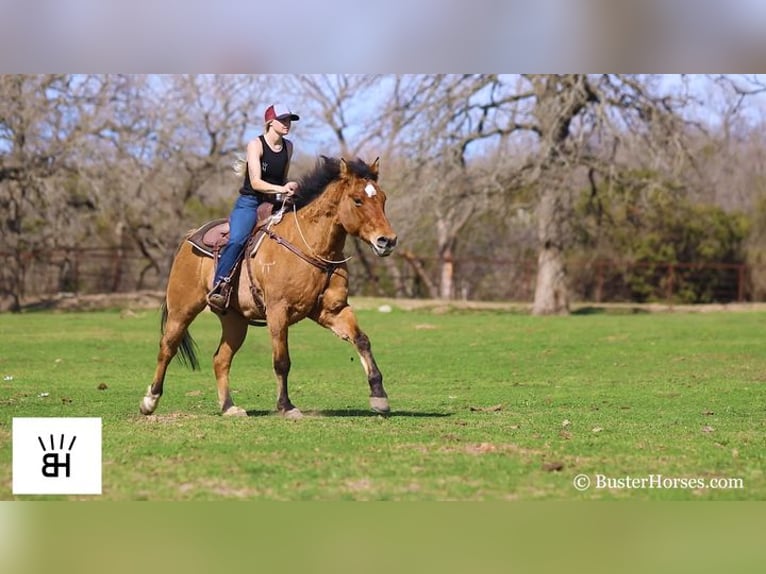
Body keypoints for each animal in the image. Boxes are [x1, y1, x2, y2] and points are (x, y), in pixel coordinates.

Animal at [139, 155, 400, 420]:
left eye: (383, 198)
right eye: (357, 200)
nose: (387, 241)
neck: (310, 246)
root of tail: (190, 237)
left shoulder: (333, 310)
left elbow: (362, 340)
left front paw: (379, 396)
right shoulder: (278, 312)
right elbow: (281, 361)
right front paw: (286, 406)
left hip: (234, 321)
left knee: (220, 359)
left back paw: (229, 407)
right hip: (182, 310)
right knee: (167, 348)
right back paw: (150, 401)